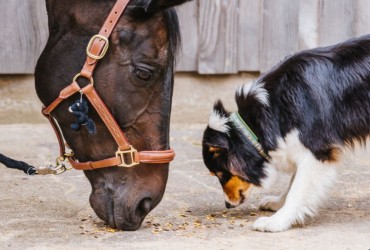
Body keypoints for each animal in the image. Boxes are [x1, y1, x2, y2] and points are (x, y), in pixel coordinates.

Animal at [202, 34, 370, 232]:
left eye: (220, 174)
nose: (227, 205)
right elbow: (292, 183)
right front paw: (277, 203)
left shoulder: (316, 150)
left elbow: (297, 189)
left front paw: (276, 221)